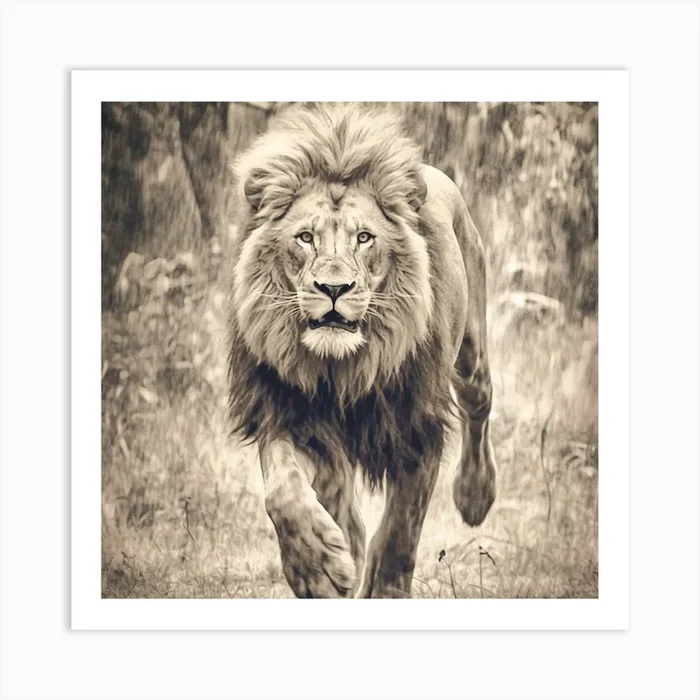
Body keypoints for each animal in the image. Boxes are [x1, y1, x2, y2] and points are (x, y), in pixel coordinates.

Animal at [227, 103, 497, 598]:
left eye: (365, 238)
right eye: (305, 237)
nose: (334, 288)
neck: (346, 367)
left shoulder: (416, 429)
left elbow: (400, 535)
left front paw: (381, 588)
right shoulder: (282, 408)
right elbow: (283, 491)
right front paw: (316, 568)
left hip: (471, 355)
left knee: (479, 406)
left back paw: (475, 493)